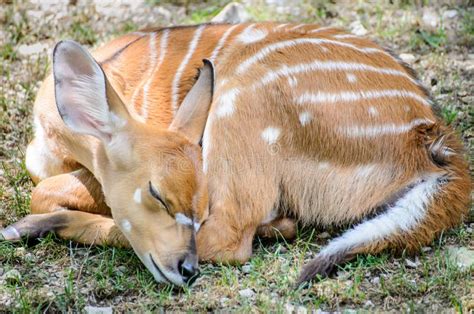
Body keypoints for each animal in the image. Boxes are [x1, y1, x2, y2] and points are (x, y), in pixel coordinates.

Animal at [0, 23, 470, 286]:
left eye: (182, 198)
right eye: (157, 195)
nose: (185, 269)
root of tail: (431, 137)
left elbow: (46, 192)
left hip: (240, 99)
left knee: (231, 236)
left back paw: (27, 228)